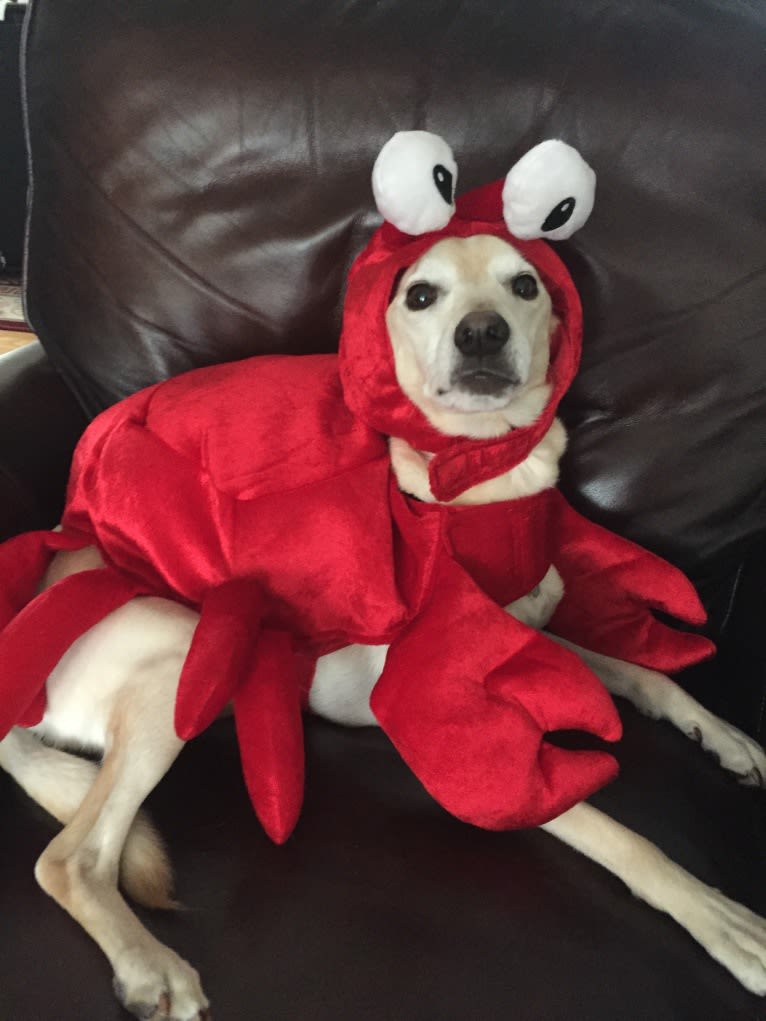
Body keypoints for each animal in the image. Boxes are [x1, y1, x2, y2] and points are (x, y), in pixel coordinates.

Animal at [1, 234, 766, 1016]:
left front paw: (720, 733)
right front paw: (723, 920)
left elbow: (636, 671)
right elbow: (620, 835)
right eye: (421, 294)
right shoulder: (452, 723)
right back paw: (150, 966)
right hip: (186, 644)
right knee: (67, 860)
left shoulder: (527, 640)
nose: (482, 333)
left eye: (524, 284)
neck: (486, 489)